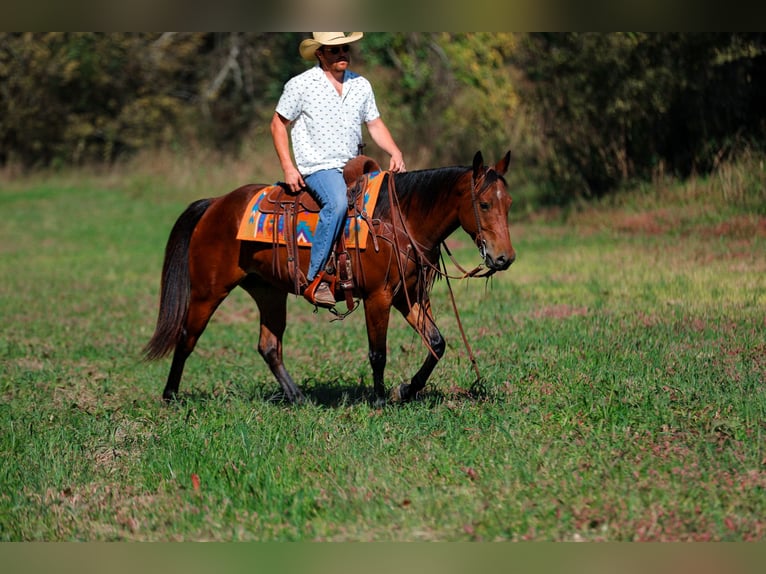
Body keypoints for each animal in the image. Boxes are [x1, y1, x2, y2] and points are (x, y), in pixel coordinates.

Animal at [143, 150, 515, 405]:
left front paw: (407, 389)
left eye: (508, 203)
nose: (504, 258)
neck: (398, 220)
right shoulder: (378, 296)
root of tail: (216, 203)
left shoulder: (408, 296)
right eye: (484, 204)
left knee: (269, 346)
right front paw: (379, 400)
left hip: (268, 292)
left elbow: (436, 343)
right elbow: (378, 352)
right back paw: (171, 396)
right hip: (208, 290)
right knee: (187, 337)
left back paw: (298, 398)